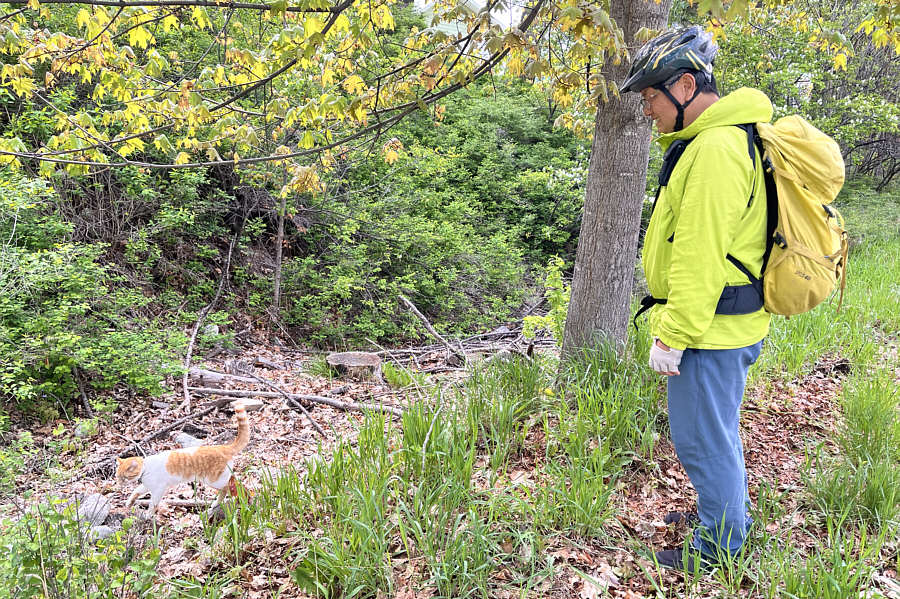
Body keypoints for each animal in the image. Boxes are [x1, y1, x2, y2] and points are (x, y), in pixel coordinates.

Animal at [118, 400, 250, 516]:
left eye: (124, 478)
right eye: (117, 477)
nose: (119, 484)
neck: (146, 469)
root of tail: (223, 447)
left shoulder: (158, 489)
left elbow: (153, 504)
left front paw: (148, 515)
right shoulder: (146, 486)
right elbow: (135, 492)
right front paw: (129, 502)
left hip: (214, 480)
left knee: (226, 488)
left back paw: (217, 503)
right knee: (235, 481)